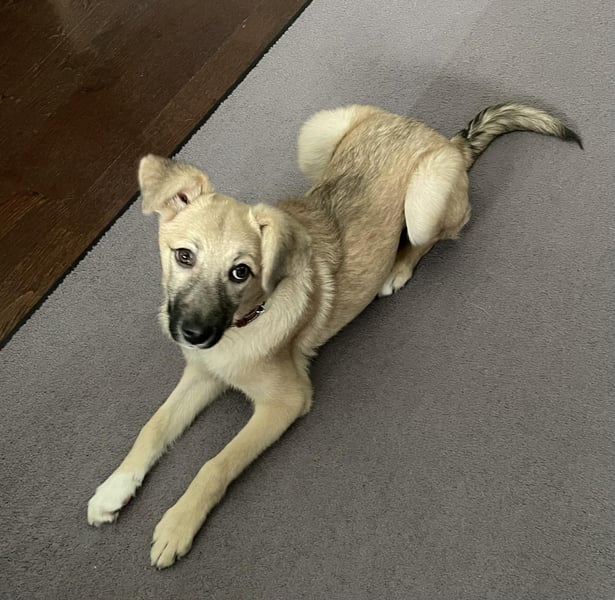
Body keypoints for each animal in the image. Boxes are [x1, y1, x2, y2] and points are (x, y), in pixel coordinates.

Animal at [87, 103, 581, 568]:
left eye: (240, 272)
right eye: (184, 256)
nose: (191, 334)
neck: (245, 323)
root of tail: (444, 139)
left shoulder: (285, 402)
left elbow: (216, 464)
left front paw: (177, 524)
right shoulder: (202, 373)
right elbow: (154, 426)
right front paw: (115, 486)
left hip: (422, 205)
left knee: (433, 236)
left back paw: (397, 270)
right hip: (316, 133)